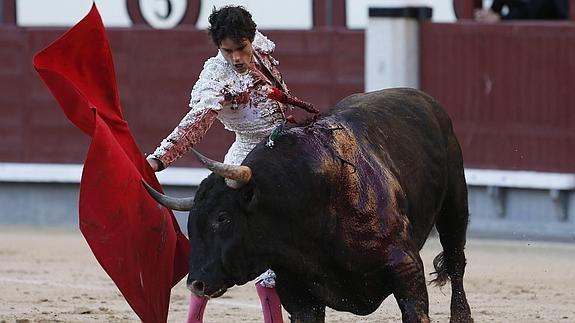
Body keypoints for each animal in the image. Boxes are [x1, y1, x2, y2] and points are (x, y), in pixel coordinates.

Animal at [144, 87, 472, 322]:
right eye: (192, 222)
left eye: (223, 217)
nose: (195, 283)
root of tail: (423, 98)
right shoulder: (297, 295)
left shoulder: (406, 268)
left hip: (455, 204)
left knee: (456, 260)